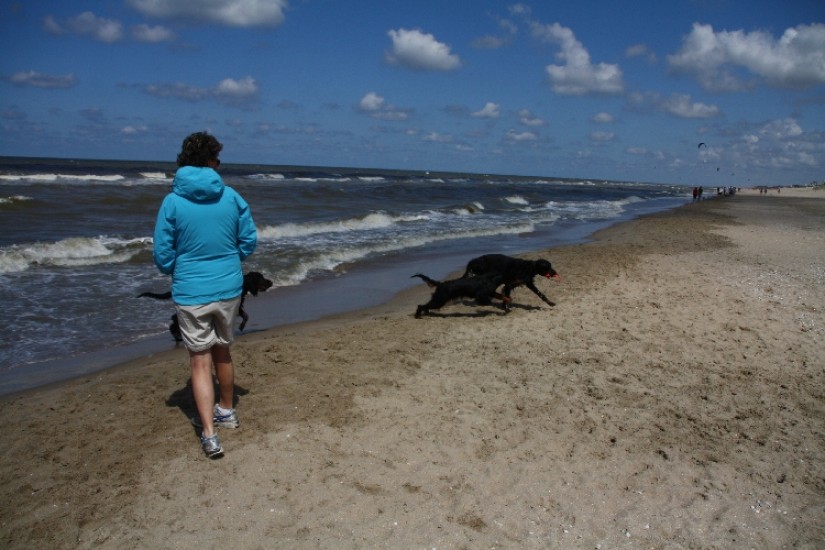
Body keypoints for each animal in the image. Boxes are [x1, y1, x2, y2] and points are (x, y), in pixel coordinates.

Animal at [139, 271, 273, 341]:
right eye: (261, 278)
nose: (271, 282)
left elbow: (245, 315)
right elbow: (244, 316)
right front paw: (240, 327)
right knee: (175, 320)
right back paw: (176, 335)